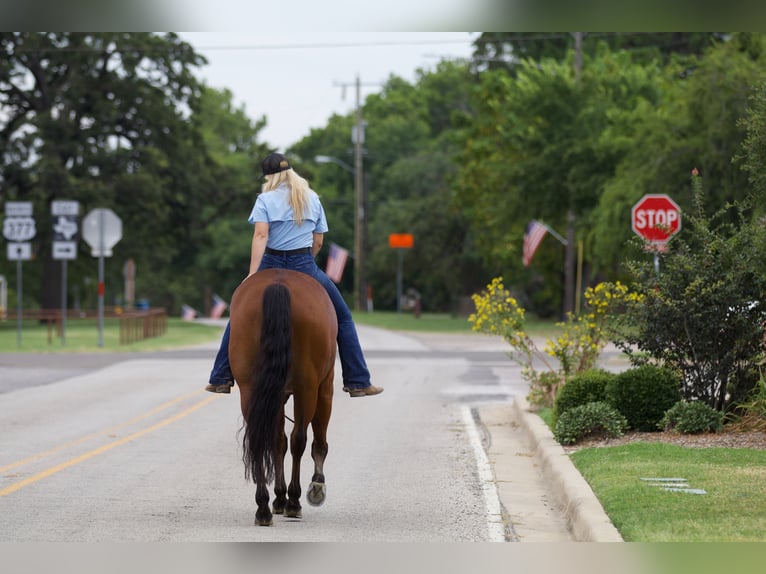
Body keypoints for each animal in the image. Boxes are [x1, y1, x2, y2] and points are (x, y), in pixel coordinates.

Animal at [226, 268, 338, 528]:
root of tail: (278, 284)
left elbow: (277, 442)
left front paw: (278, 497)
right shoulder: (325, 386)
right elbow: (316, 441)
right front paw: (316, 486)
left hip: (250, 389)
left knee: (260, 439)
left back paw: (263, 507)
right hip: (307, 388)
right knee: (299, 439)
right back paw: (294, 501)